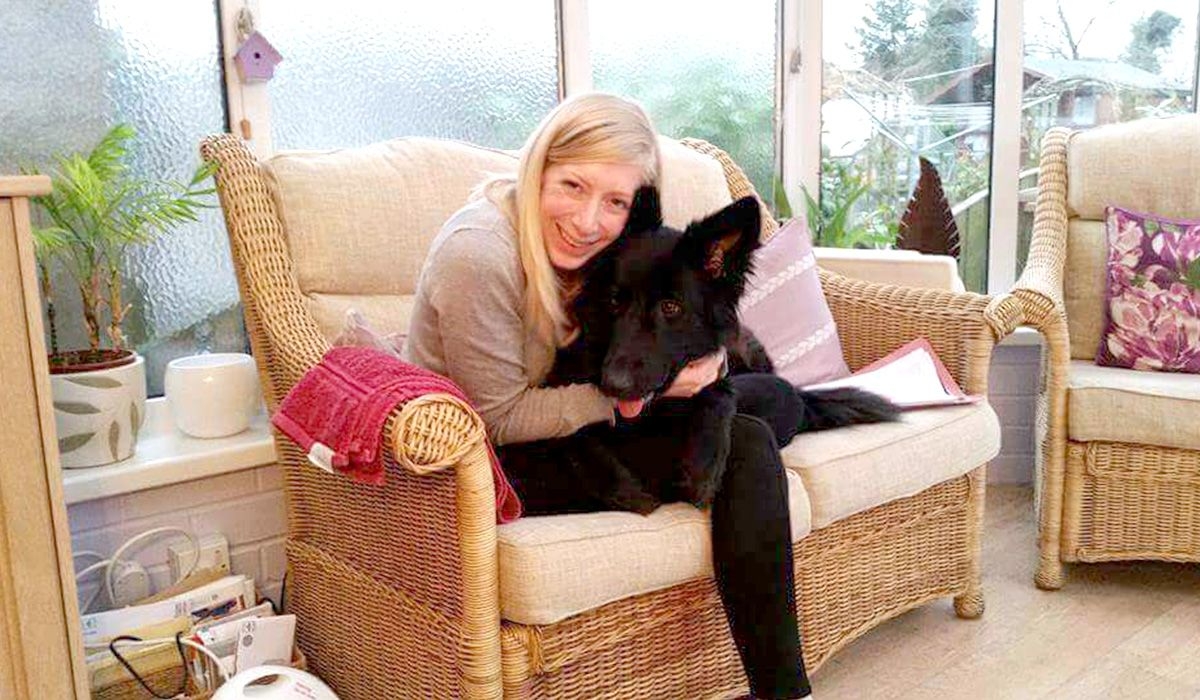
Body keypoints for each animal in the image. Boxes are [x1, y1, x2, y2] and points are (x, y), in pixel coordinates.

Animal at [499, 186, 902, 513]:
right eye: (614, 301)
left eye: (671, 307)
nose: (613, 384)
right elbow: (577, 439)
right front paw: (625, 489)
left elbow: (719, 393)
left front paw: (703, 466)